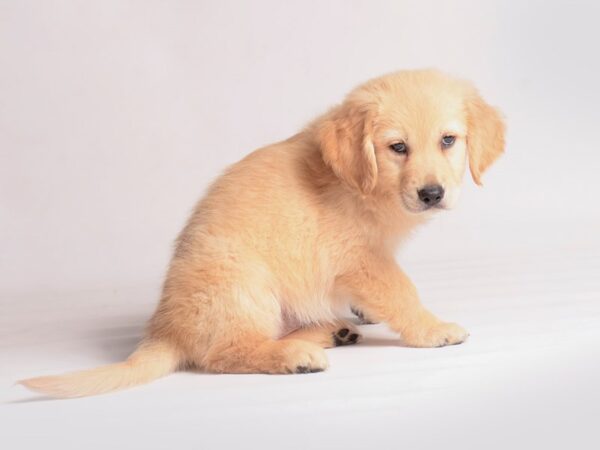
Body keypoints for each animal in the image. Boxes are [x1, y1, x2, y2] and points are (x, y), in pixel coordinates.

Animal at [21, 67, 504, 398]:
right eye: (397, 147)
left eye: (448, 140)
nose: (432, 194)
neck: (363, 185)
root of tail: (164, 331)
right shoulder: (360, 257)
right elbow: (401, 291)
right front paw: (433, 328)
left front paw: (365, 313)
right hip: (243, 282)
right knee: (226, 353)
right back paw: (296, 355)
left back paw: (331, 332)